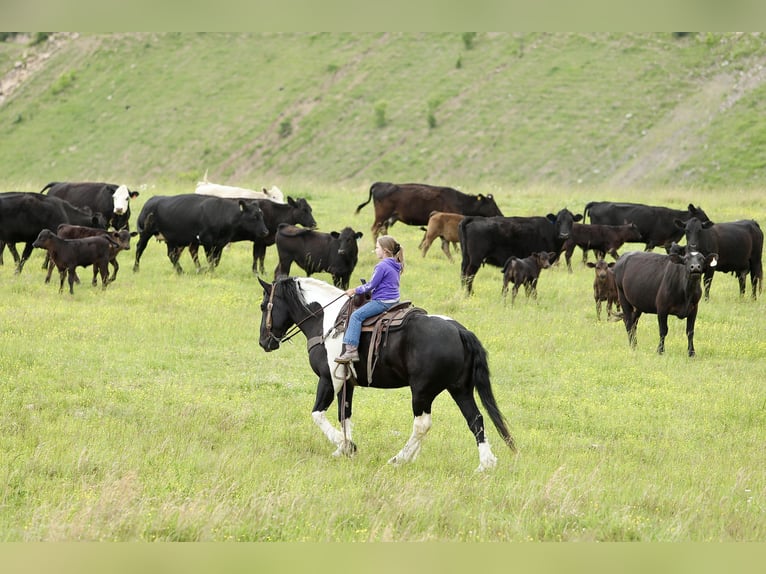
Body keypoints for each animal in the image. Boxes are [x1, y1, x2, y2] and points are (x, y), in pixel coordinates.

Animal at [257, 276, 516, 471]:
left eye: (263, 306)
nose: (263, 342)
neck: (326, 321)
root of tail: (460, 330)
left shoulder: (329, 379)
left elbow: (318, 414)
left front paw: (347, 446)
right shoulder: (347, 383)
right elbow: (344, 415)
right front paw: (344, 448)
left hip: (422, 391)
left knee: (422, 425)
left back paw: (399, 459)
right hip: (459, 389)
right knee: (475, 419)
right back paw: (486, 464)